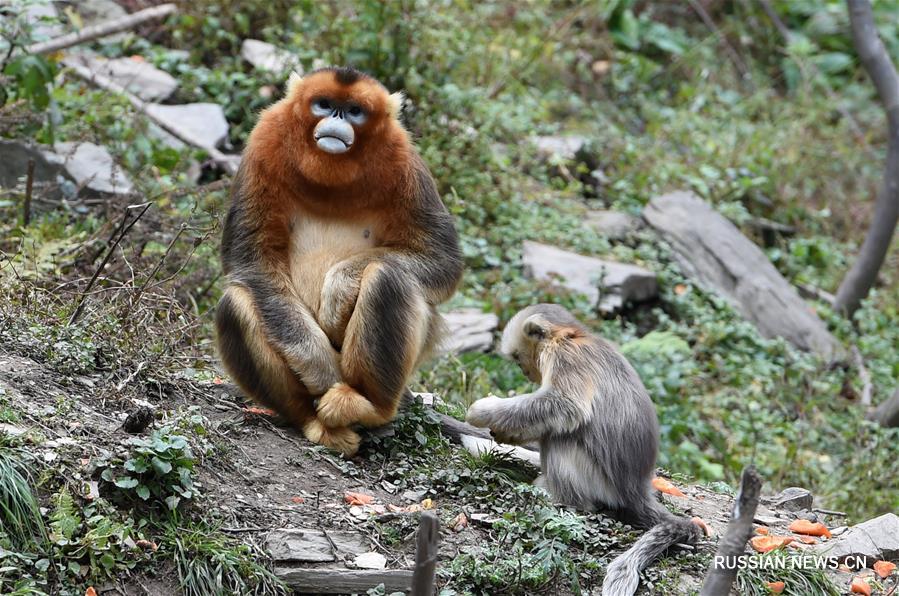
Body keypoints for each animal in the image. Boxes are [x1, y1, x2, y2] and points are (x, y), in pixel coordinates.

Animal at [214, 66, 460, 456]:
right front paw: (319, 367)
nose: (337, 118)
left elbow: (443, 261)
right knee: (235, 303)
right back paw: (312, 421)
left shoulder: (403, 160)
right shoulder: (265, 140)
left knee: (386, 277)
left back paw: (369, 406)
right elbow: (251, 261)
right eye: (324, 104)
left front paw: (339, 290)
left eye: (355, 111)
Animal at [468, 304, 708, 592]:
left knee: (561, 436)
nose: (524, 371)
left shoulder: (565, 357)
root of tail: (635, 490)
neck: (572, 336)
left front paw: (484, 412)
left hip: (598, 481)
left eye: (517, 357)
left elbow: (565, 405)